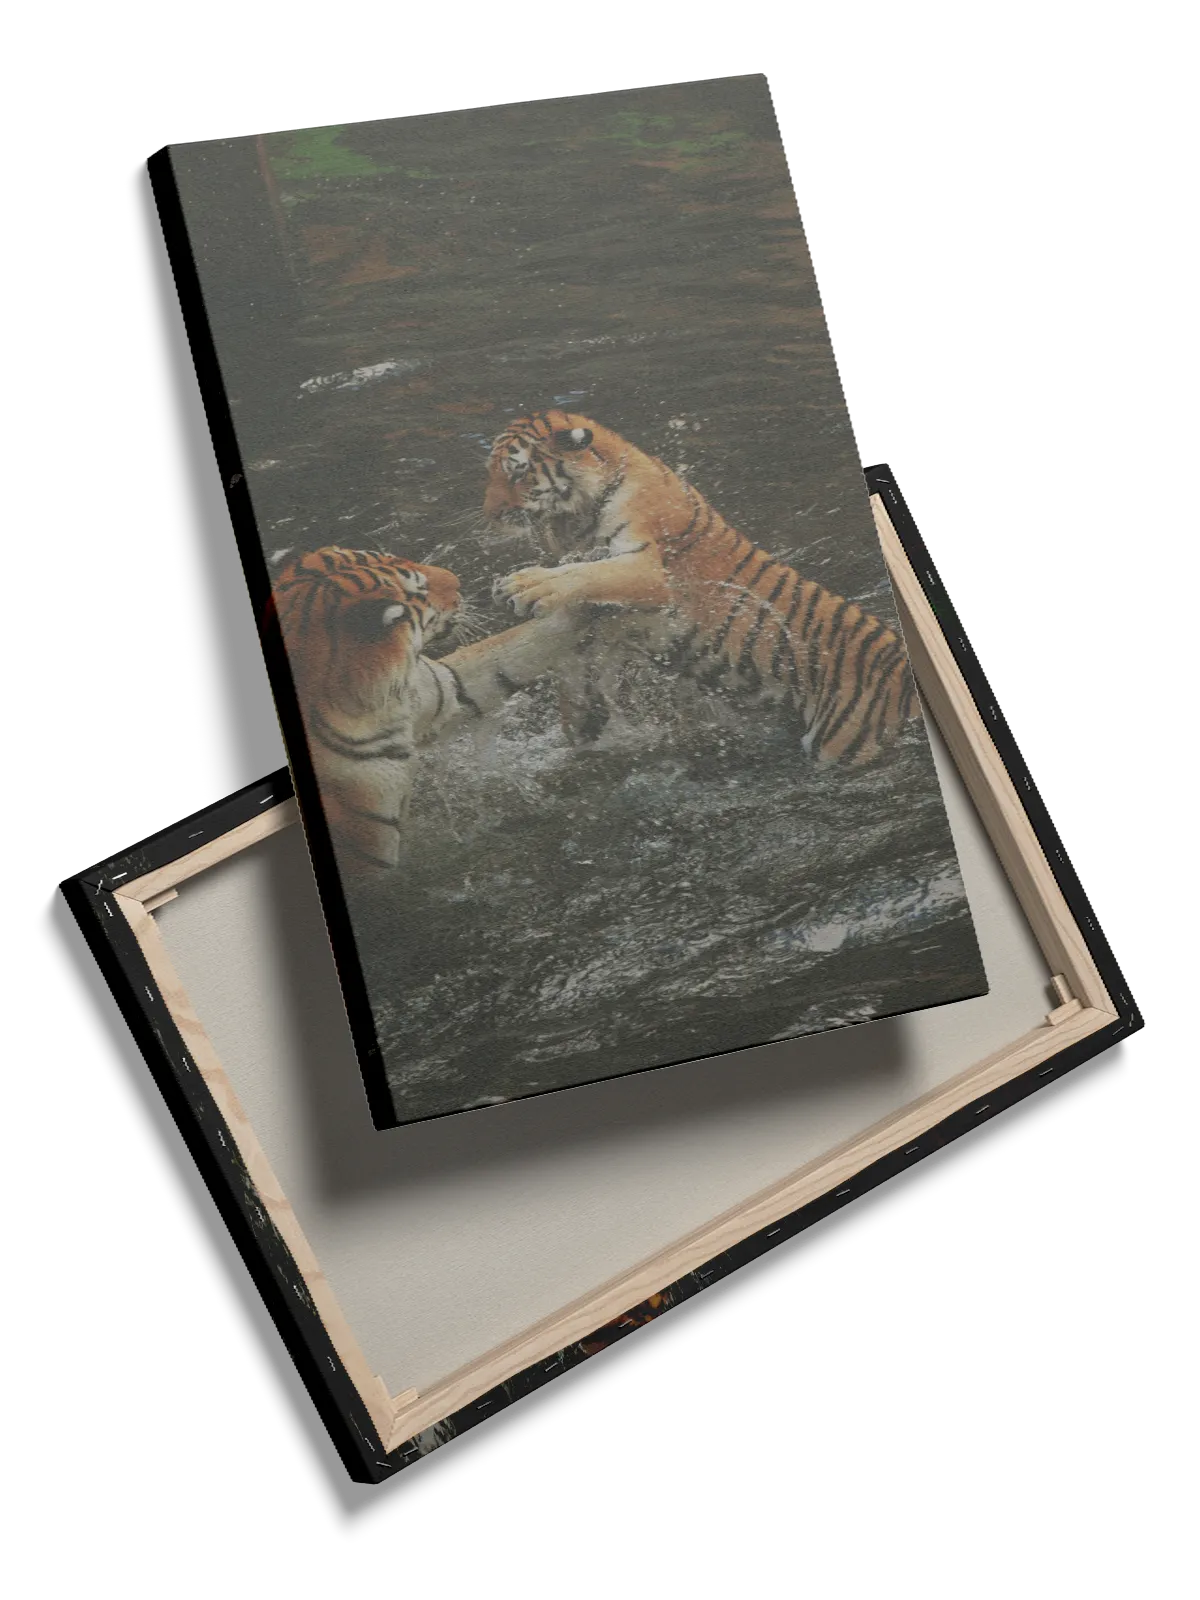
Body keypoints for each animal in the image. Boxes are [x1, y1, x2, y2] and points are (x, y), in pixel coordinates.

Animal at [486, 410, 920, 765]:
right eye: (492, 473)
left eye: (517, 472)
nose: (491, 515)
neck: (580, 514)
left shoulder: (650, 570)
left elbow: (586, 573)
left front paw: (522, 584)